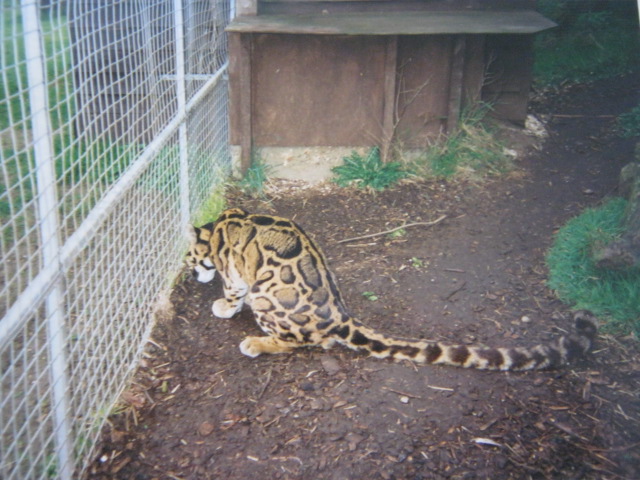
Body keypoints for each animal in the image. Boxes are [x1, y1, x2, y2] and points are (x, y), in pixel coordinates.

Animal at [185, 207, 597, 371]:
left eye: (188, 260)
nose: (190, 274)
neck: (218, 225)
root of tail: (341, 316)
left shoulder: (236, 276)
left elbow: (232, 291)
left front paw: (223, 306)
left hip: (266, 298)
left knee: (299, 342)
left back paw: (256, 343)